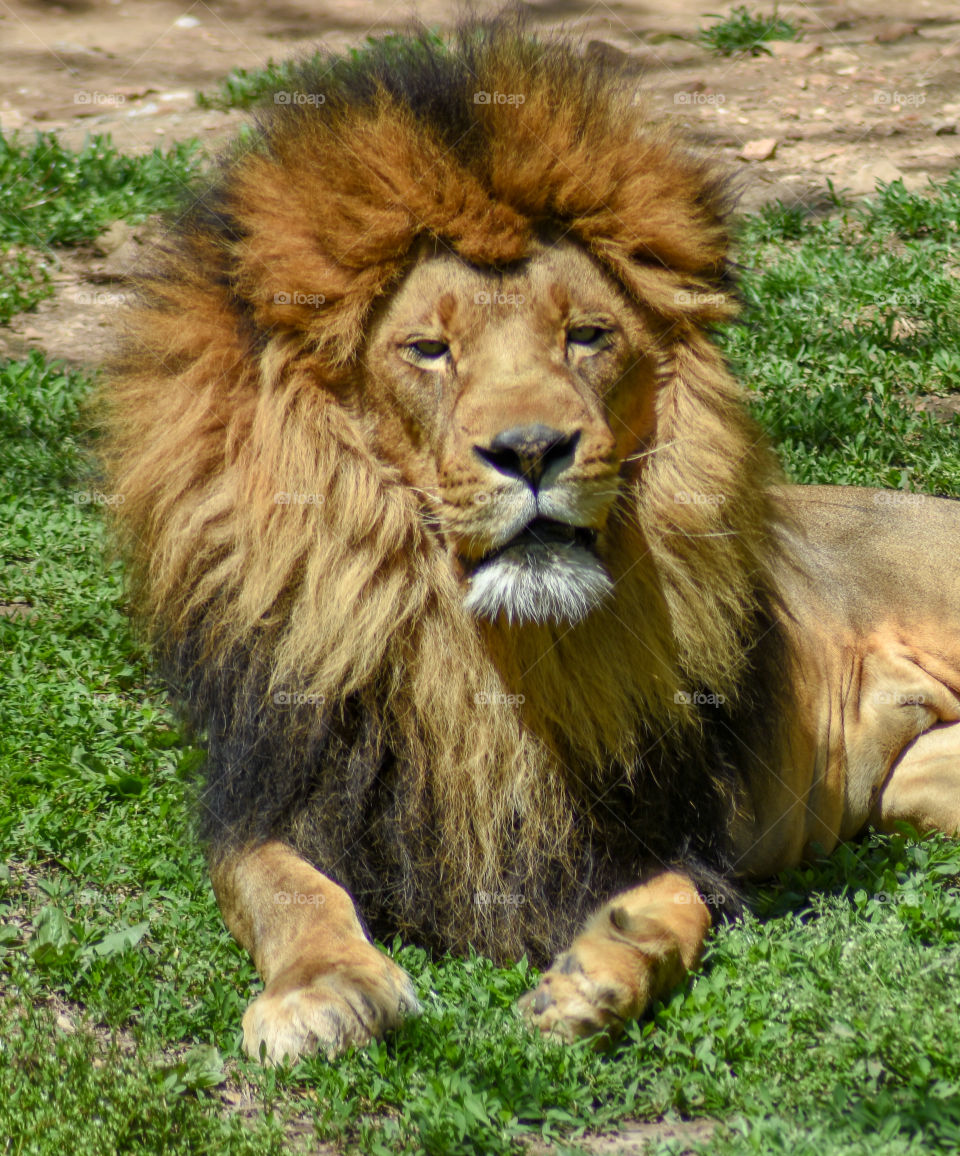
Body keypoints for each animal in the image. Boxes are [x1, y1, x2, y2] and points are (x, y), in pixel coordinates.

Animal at [101, 18, 960, 1064]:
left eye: (586, 335)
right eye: (428, 350)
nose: (533, 449)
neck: (475, 652)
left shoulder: (670, 828)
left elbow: (676, 899)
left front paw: (602, 971)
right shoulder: (281, 787)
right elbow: (282, 888)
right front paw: (324, 990)